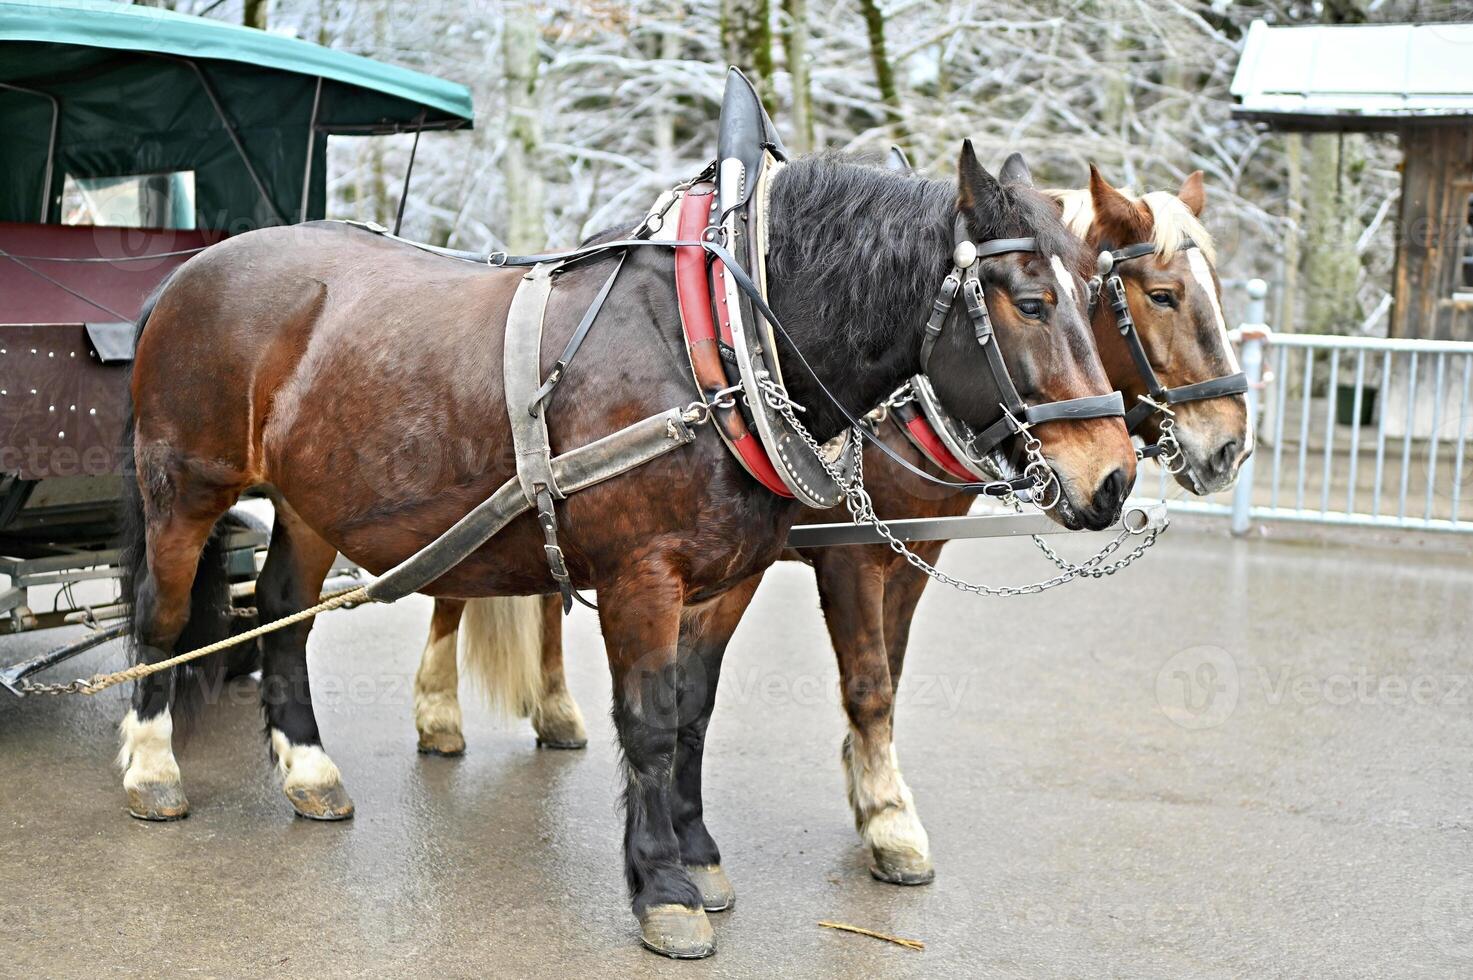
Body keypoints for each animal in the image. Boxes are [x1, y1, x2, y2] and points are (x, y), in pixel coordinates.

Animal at [114, 143, 1131, 954]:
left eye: (1096, 297)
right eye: (1032, 302)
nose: (1114, 479)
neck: (717, 344)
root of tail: (186, 273)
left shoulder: (727, 581)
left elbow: (691, 714)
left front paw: (700, 854)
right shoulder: (646, 573)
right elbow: (648, 722)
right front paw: (664, 888)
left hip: (311, 503)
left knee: (283, 614)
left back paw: (308, 769)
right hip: (186, 485)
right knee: (161, 614)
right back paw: (151, 765)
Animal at [409, 162, 1249, 896]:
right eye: (1161, 295)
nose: (1228, 445)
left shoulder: (911, 554)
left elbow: (892, 675)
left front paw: (869, 787)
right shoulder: (851, 557)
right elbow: (868, 684)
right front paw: (888, 821)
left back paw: (553, 708)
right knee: (454, 589)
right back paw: (438, 711)